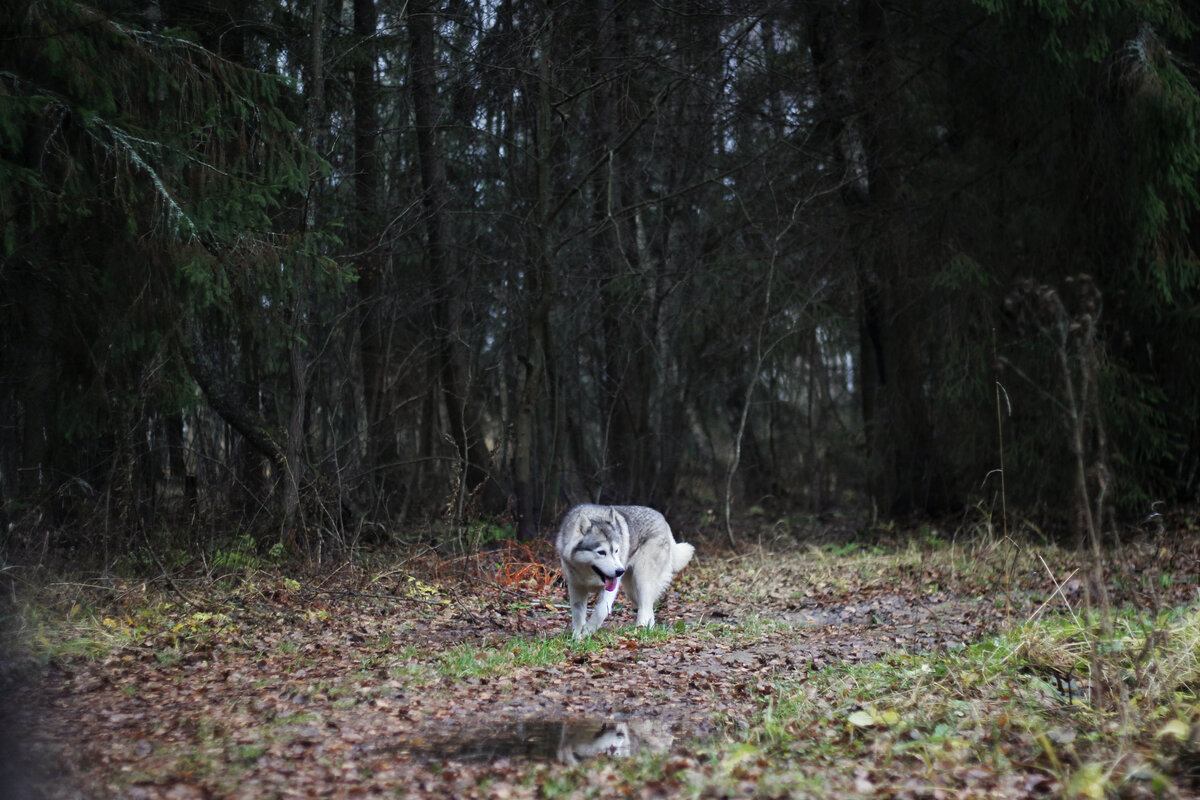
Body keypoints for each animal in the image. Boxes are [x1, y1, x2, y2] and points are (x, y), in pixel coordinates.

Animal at [552, 506, 696, 638]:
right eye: (601, 552)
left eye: (616, 550)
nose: (620, 571)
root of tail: (662, 519)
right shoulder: (576, 586)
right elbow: (577, 614)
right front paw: (577, 638)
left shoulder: (610, 589)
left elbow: (600, 611)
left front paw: (587, 632)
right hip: (631, 590)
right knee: (648, 609)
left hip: (642, 580)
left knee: (645, 607)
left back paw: (640, 631)